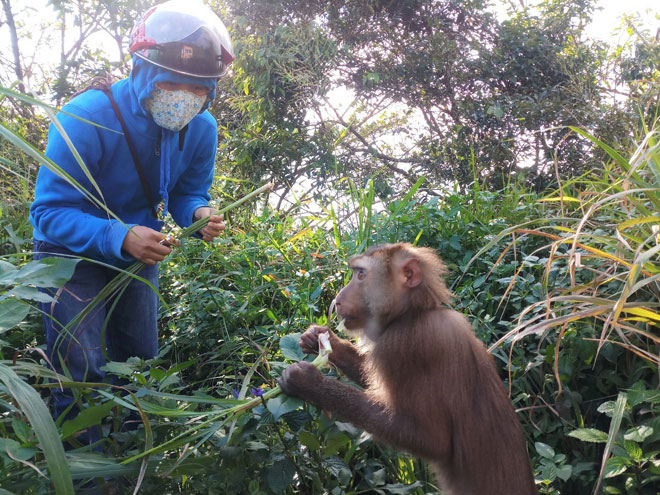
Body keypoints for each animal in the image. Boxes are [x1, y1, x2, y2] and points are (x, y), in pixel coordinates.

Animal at [278, 244, 536, 495]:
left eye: (360, 274)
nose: (337, 300)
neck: (413, 313)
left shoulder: (404, 345)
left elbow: (430, 439)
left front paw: (309, 383)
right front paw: (321, 340)